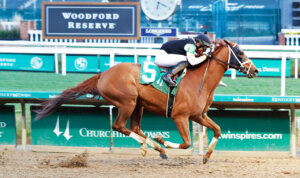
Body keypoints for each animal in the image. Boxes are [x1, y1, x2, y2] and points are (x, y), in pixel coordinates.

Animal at [35, 39, 258, 163]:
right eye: (241, 53)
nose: (255, 70)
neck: (199, 81)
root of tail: (103, 74)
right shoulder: (180, 116)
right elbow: (186, 143)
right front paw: (164, 140)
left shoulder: (199, 115)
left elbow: (218, 130)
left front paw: (206, 156)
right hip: (128, 102)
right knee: (119, 126)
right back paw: (152, 146)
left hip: (138, 105)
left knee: (135, 127)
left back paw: (156, 148)